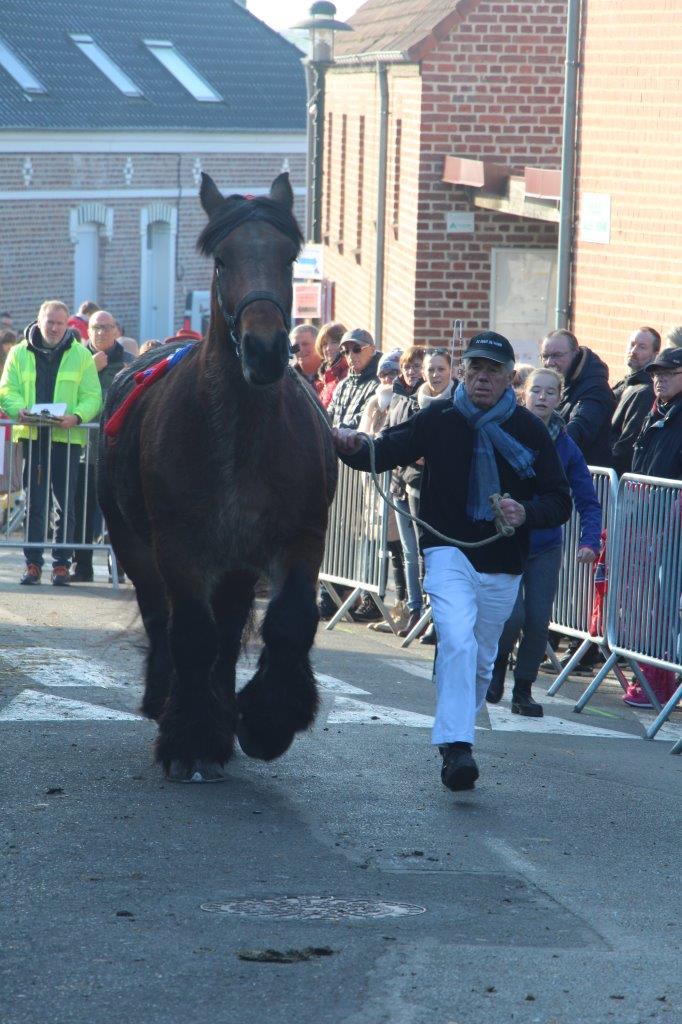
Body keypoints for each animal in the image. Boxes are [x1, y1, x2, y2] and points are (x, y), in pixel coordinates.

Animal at [96, 174, 335, 782]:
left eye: (289, 256)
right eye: (223, 259)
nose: (266, 349)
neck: (240, 440)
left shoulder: (300, 539)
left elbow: (289, 623)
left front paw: (266, 720)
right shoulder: (180, 547)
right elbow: (191, 634)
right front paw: (188, 737)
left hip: (235, 564)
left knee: (227, 633)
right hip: (137, 545)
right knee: (164, 618)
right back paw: (168, 700)